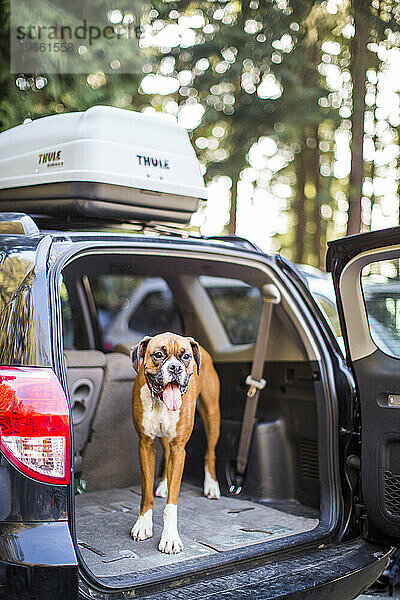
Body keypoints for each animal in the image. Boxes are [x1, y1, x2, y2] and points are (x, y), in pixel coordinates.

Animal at [130, 332, 220, 552]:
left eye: (185, 356)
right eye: (159, 354)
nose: (175, 368)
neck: (161, 401)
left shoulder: (179, 449)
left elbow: (172, 503)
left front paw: (170, 537)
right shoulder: (145, 445)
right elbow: (146, 493)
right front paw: (143, 525)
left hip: (212, 416)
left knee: (210, 453)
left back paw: (211, 485)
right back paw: (164, 484)